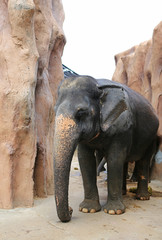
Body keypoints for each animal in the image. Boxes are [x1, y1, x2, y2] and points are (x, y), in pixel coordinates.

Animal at [52, 76, 158, 222]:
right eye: (54, 110)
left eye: (81, 113)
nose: (71, 209)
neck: (98, 85)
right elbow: (85, 159)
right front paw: (87, 209)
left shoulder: (122, 127)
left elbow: (114, 158)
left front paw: (114, 211)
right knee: (124, 162)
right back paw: (123, 193)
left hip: (152, 137)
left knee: (143, 161)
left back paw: (142, 197)